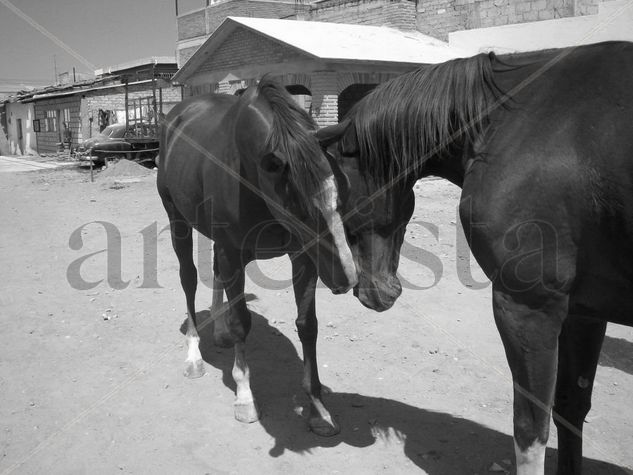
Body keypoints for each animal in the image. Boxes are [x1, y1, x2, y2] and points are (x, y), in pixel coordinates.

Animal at [157, 77, 356, 436]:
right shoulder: (232, 253)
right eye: (302, 209)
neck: (249, 173)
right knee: (188, 279)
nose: (347, 278)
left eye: (342, 194)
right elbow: (242, 323)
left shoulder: (302, 257)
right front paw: (245, 396)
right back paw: (194, 353)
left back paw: (218, 330)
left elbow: (307, 325)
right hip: (177, 217)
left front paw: (317, 406)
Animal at [318, 41, 632, 475]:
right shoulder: (584, 313)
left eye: (340, 201)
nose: (371, 293)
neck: (505, 123)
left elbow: (530, 429)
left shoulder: (528, 308)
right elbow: (571, 408)